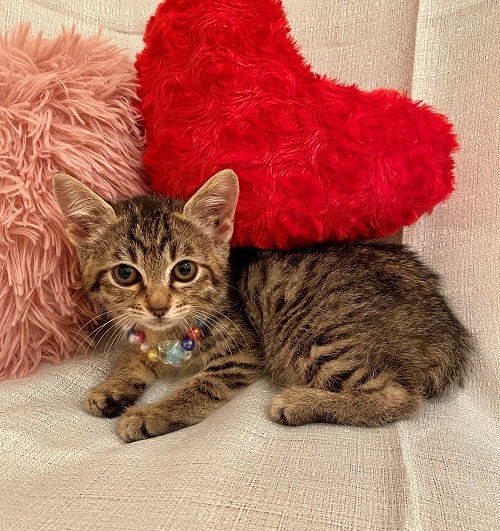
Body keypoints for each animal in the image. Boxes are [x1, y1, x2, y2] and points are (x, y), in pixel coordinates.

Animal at [53, 169, 471, 442]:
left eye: (184, 269)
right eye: (125, 274)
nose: (158, 307)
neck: (169, 333)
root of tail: (447, 328)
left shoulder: (241, 352)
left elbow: (198, 388)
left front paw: (149, 415)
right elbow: (132, 356)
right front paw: (112, 387)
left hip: (308, 333)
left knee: (400, 396)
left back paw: (299, 403)